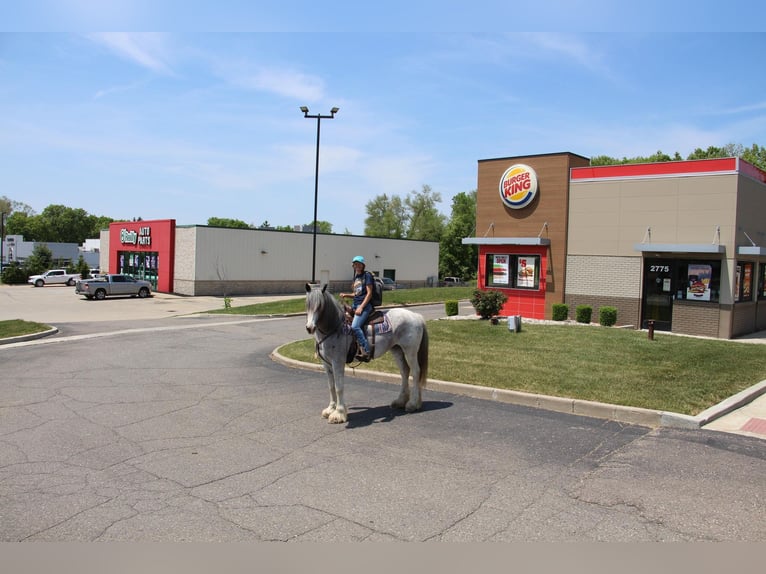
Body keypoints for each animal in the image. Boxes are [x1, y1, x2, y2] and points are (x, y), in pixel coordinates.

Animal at [304, 282, 428, 424]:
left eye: (320, 306)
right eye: (307, 304)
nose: (310, 327)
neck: (335, 328)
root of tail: (416, 316)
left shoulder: (337, 362)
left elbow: (338, 387)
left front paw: (339, 414)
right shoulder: (327, 365)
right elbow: (331, 387)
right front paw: (330, 409)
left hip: (410, 351)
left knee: (416, 372)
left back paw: (413, 404)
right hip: (397, 350)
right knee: (405, 372)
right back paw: (400, 401)